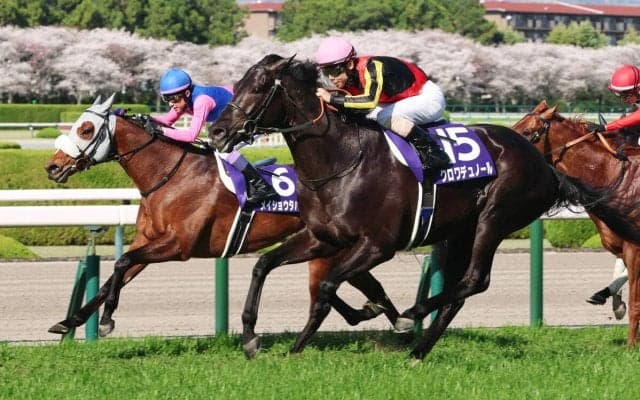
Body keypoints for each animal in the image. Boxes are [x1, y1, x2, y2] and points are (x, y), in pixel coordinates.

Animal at [44, 94, 402, 337]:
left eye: (86, 129)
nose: (53, 166)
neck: (170, 174)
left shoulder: (179, 245)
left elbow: (120, 264)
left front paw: (105, 321)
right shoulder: (148, 241)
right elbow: (115, 274)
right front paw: (70, 320)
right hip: (328, 244)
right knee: (358, 282)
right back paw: (384, 315)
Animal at [207, 54, 602, 360]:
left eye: (259, 86)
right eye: (237, 83)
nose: (217, 132)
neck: (342, 159)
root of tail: (545, 165)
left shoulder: (378, 245)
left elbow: (327, 288)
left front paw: (297, 348)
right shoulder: (322, 237)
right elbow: (263, 266)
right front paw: (252, 339)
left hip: (495, 219)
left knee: (476, 279)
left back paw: (416, 313)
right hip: (461, 231)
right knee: (460, 290)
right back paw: (418, 350)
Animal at [512, 100, 640, 347]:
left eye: (527, 132)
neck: (612, 174)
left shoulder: (635, 247)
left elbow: (636, 301)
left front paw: (631, 346)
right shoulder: (620, 244)